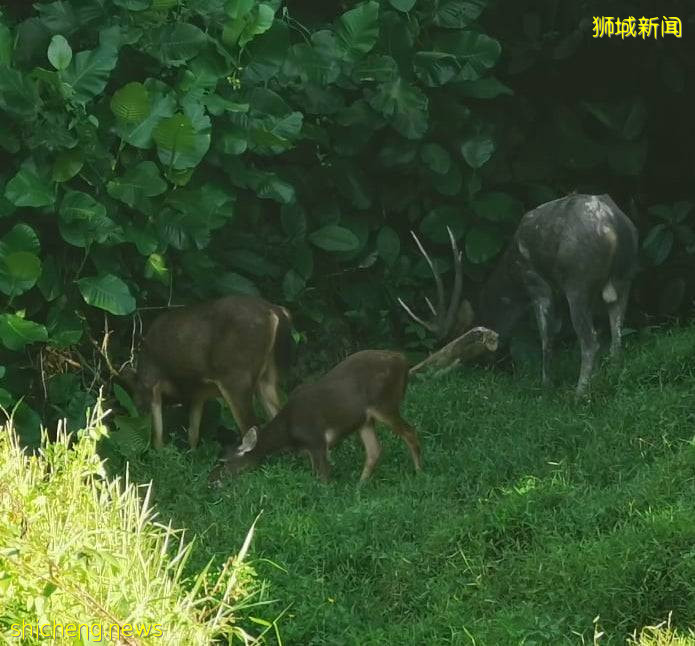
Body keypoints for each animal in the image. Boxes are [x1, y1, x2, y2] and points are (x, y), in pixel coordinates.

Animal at [123, 294, 292, 450]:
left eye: (135, 401)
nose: (138, 412)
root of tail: (274, 311)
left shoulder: (151, 381)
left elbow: (157, 432)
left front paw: (159, 453)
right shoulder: (198, 392)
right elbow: (193, 431)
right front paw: (191, 455)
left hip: (236, 376)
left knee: (252, 427)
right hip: (267, 376)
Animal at [212, 352, 422, 484]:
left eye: (222, 462)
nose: (211, 481)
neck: (288, 432)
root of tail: (403, 361)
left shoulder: (317, 441)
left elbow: (323, 478)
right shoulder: (311, 448)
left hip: (384, 404)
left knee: (410, 432)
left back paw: (419, 472)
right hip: (365, 419)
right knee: (374, 450)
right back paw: (360, 485)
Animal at [400, 192, 640, 398]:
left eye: (461, 343)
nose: (478, 368)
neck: (512, 274)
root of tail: (614, 226)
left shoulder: (536, 283)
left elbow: (546, 338)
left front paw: (546, 387)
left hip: (578, 283)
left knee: (591, 340)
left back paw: (579, 394)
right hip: (625, 276)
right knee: (616, 333)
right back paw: (614, 376)